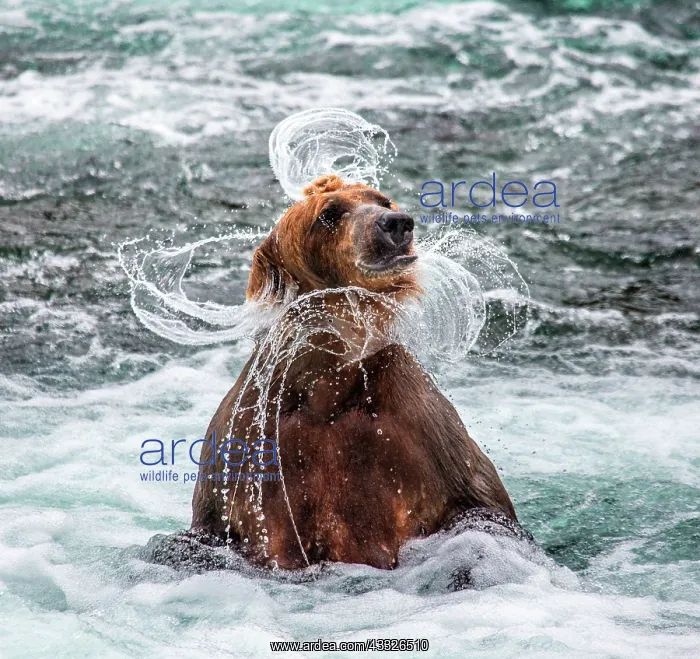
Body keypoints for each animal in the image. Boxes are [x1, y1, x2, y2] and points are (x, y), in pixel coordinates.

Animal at [190, 174, 517, 570]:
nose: (396, 223)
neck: (329, 390)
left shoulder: (426, 442)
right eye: (329, 214)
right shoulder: (249, 455)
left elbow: (480, 505)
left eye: (382, 200)